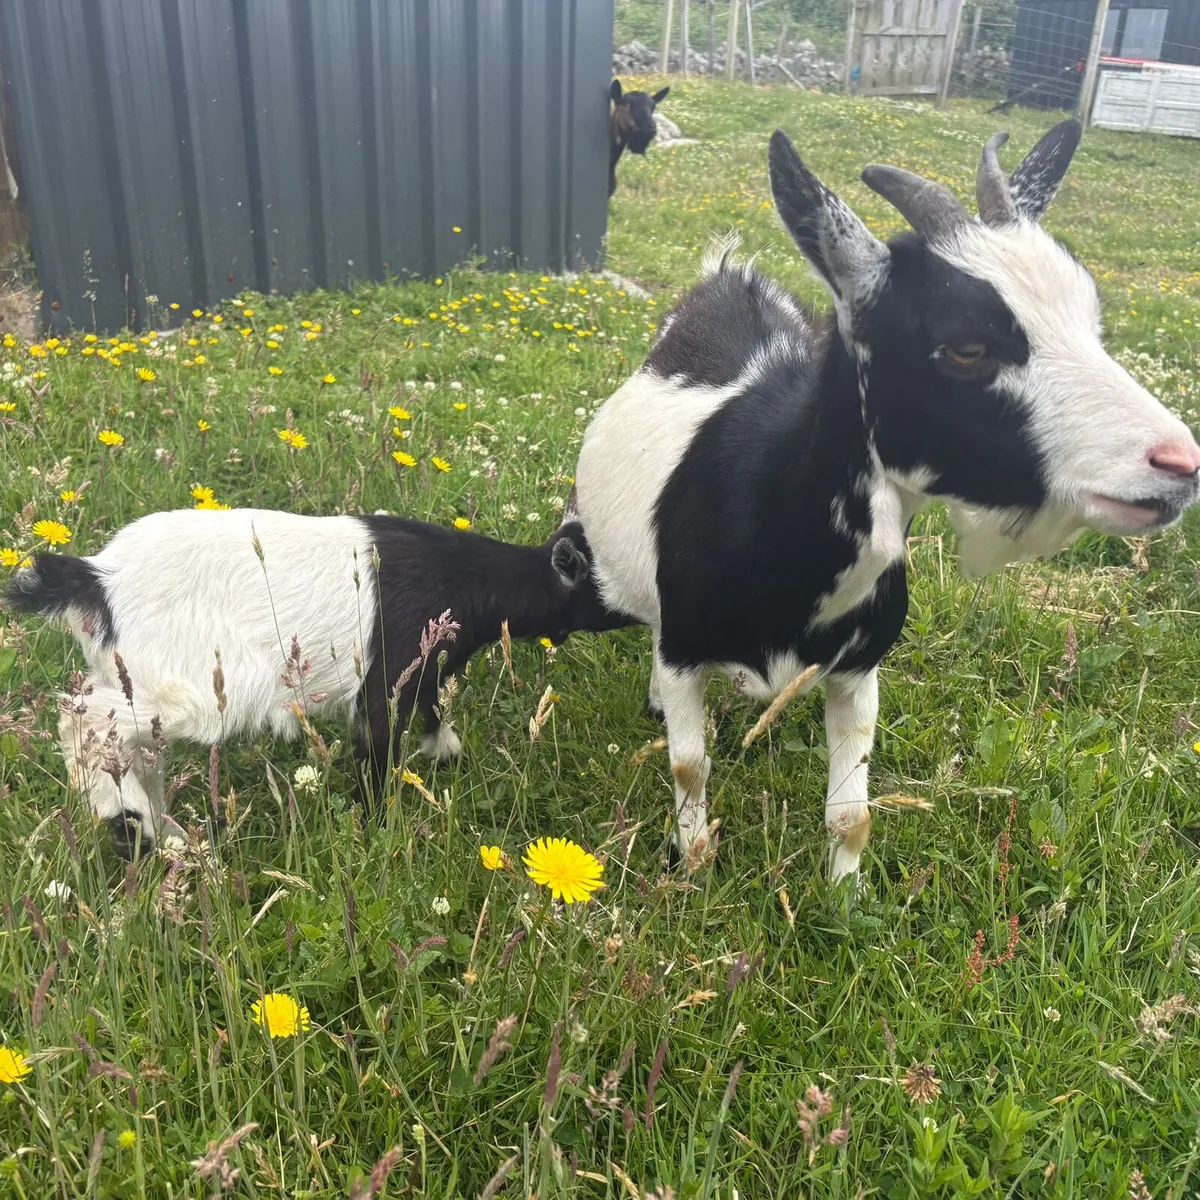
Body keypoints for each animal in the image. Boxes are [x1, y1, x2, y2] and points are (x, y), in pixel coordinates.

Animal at [5, 496, 629, 857]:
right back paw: (131, 823)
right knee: (84, 719)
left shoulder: (423, 670)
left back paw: (168, 833)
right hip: (187, 687)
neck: (467, 578)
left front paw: (445, 756)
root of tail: (97, 580)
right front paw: (376, 824)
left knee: (129, 747)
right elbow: (379, 742)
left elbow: (433, 717)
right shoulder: (391, 668)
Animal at [575, 120, 1200, 884]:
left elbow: (853, 811)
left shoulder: (857, 667)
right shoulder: (685, 646)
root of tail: (729, 279)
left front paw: (844, 895)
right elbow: (690, 764)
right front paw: (691, 867)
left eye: (1092, 320)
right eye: (966, 346)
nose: (1179, 463)